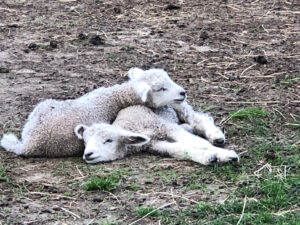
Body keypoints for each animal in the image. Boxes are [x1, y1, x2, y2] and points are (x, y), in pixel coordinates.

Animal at [75, 105, 239, 165]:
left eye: (108, 140)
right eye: (85, 142)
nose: (88, 154)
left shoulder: (163, 126)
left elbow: (198, 142)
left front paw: (226, 154)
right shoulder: (154, 144)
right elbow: (179, 149)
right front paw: (209, 157)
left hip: (177, 105)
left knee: (196, 117)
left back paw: (216, 136)